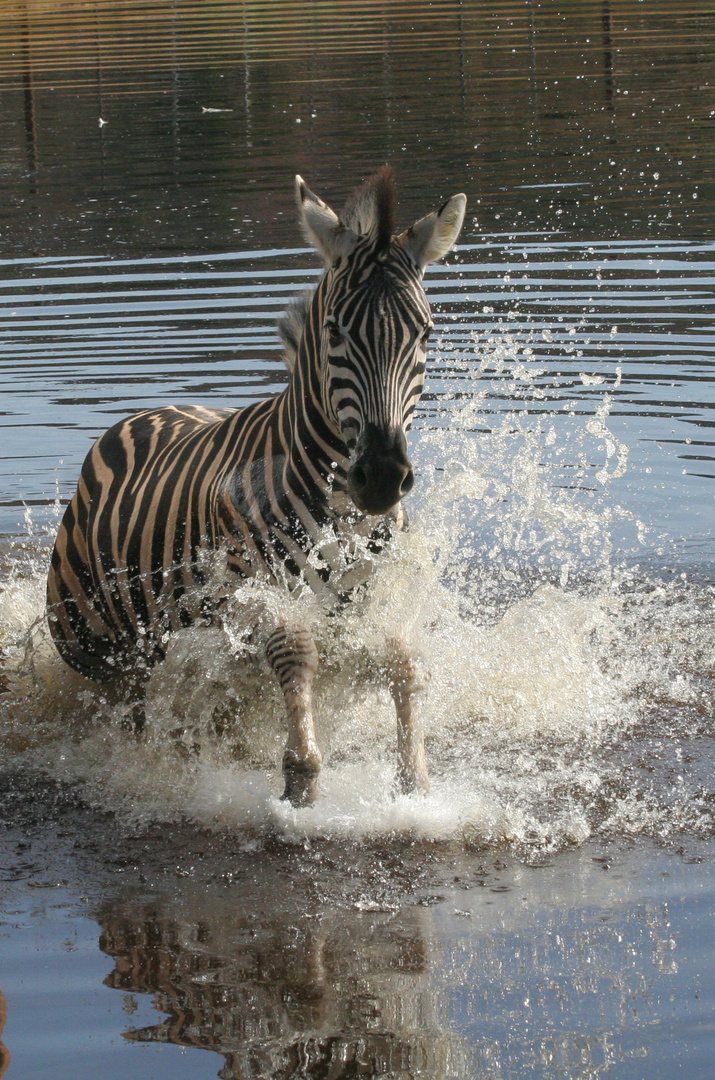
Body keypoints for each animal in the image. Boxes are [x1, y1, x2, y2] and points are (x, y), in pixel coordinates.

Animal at [47, 168, 468, 807]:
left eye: (423, 333)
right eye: (335, 332)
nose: (381, 477)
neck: (342, 507)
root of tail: (149, 411)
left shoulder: (383, 591)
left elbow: (403, 659)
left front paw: (414, 779)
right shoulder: (248, 590)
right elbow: (296, 649)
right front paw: (300, 776)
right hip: (97, 644)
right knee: (130, 707)